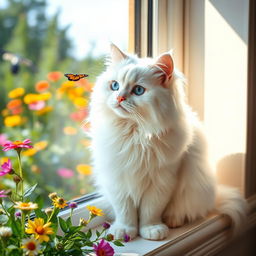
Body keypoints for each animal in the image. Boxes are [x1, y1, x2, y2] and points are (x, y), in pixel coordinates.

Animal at [88, 43, 248, 240]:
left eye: (138, 90)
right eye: (115, 86)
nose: (119, 98)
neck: (136, 134)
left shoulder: (162, 180)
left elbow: (151, 210)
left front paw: (151, 230)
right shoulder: (118, 178)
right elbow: (125, 210)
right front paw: (125, 231)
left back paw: (173, 220)